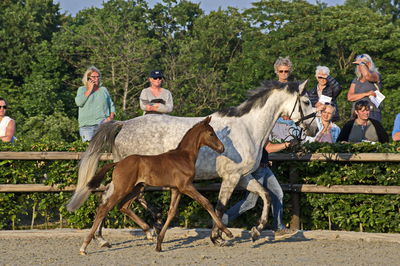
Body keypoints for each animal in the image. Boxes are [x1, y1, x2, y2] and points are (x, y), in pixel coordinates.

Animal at [78, 117, 233, 254]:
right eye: (211, 133)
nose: (222, 148)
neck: (184, 157)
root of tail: (118, 163)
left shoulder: (176, 189)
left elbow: (172, 212)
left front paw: (159, 244)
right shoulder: (186, 186)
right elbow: (206, 203)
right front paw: (227, 232)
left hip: (138, 187)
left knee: (123, 206)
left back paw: (148, 232)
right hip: (123, 187)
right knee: (104, 208)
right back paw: (84, 247)